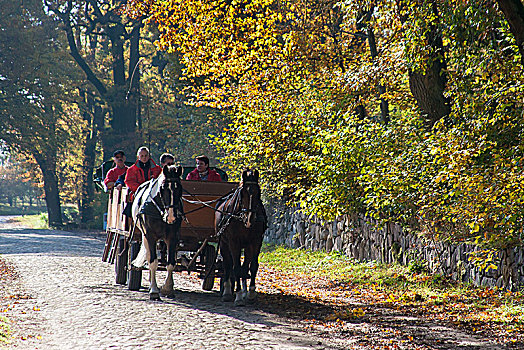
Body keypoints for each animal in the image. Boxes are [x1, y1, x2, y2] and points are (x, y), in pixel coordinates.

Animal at [131, 165, 184, 300]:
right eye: (163, 188)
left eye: (179, 188)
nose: (171, 217)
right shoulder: (150, 235)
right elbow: (153, 262)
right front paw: (154, 290)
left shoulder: (172, 237)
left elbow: (171, 263)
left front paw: (167, 288)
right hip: (145, 236)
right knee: (149, 256)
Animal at [216, 170, 268, 306]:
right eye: (242, 193)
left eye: (258, 192)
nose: (249, 219)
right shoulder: (234, 243)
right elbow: (236, 268)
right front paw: (238, 296)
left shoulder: (256, 242)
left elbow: (252, 266)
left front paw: (250, 293)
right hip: (224, 243)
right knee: (228, 265)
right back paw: (227, 292)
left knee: (245, 267)